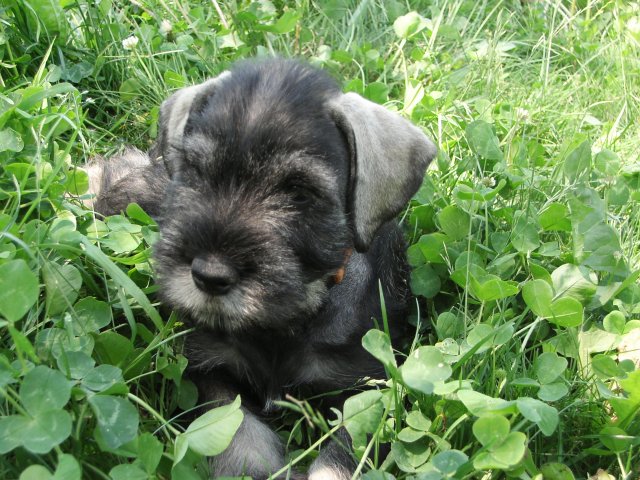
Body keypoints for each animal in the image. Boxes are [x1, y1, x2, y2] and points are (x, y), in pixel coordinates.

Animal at [89, 58, 436, 479]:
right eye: (196, 171)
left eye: (299, 191)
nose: (208, 276)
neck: (285, 320)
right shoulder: (209, 366)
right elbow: (239, 432)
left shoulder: (368, 387)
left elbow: (343, 453)